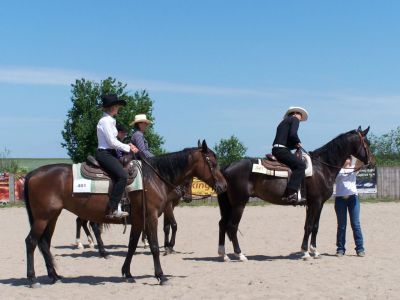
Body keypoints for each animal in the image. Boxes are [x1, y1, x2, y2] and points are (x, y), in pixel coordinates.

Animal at [24, 139, 225, 288]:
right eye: (213, 163)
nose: (223, 186)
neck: (154, 178)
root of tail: (32, 173)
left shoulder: (138, 220)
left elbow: (132, 245)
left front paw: (127, 273)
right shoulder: (150, 217)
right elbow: (154, 246)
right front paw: (161, 276)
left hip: (52, 216)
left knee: (45, 243)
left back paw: (54, 275)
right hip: (43, 217)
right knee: (31, 241)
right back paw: (33, 279)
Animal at [217, 127, 374, 262]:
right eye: (367, 143)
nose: (372, 161)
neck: (322, 167)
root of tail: (227, 167)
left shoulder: (317, 204)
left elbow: (314, 226)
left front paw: (314, 251)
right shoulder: (316, 203)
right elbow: (309, 226)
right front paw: (306, 253)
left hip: (228, 205)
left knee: (222, 224)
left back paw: (224, 255)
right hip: (239, 204)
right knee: (232, 226)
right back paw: (240, 255)